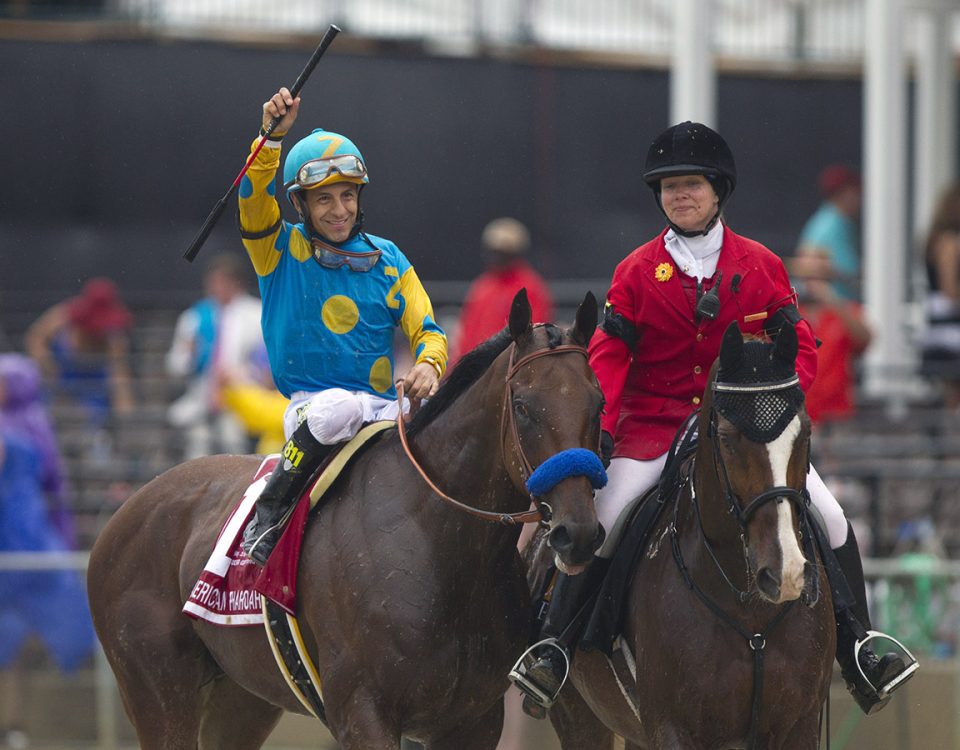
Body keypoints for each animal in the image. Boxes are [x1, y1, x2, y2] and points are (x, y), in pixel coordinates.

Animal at [86, 292, 604, 750]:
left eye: (598, 402)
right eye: (523, 405)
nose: (577, 532)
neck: (438, 544)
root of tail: (125, 509)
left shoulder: (471, 722)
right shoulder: (362, 712)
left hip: (243, 698)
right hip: (158, 690)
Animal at [536, 324, 836, 750]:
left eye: (805, 433)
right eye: (726, 439)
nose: (786, 573)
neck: (750, 610)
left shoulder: (799, 726)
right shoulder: (671, 727)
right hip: (580, 716)